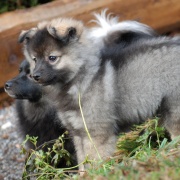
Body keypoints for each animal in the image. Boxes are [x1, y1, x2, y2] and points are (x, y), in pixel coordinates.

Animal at [17, 11, 180, 171]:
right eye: (34, 59)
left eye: (52, 58)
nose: (35, 76)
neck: (82, 76)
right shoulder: (78, 134)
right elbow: (83, 161)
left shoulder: (96, 134)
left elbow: (95, 161)